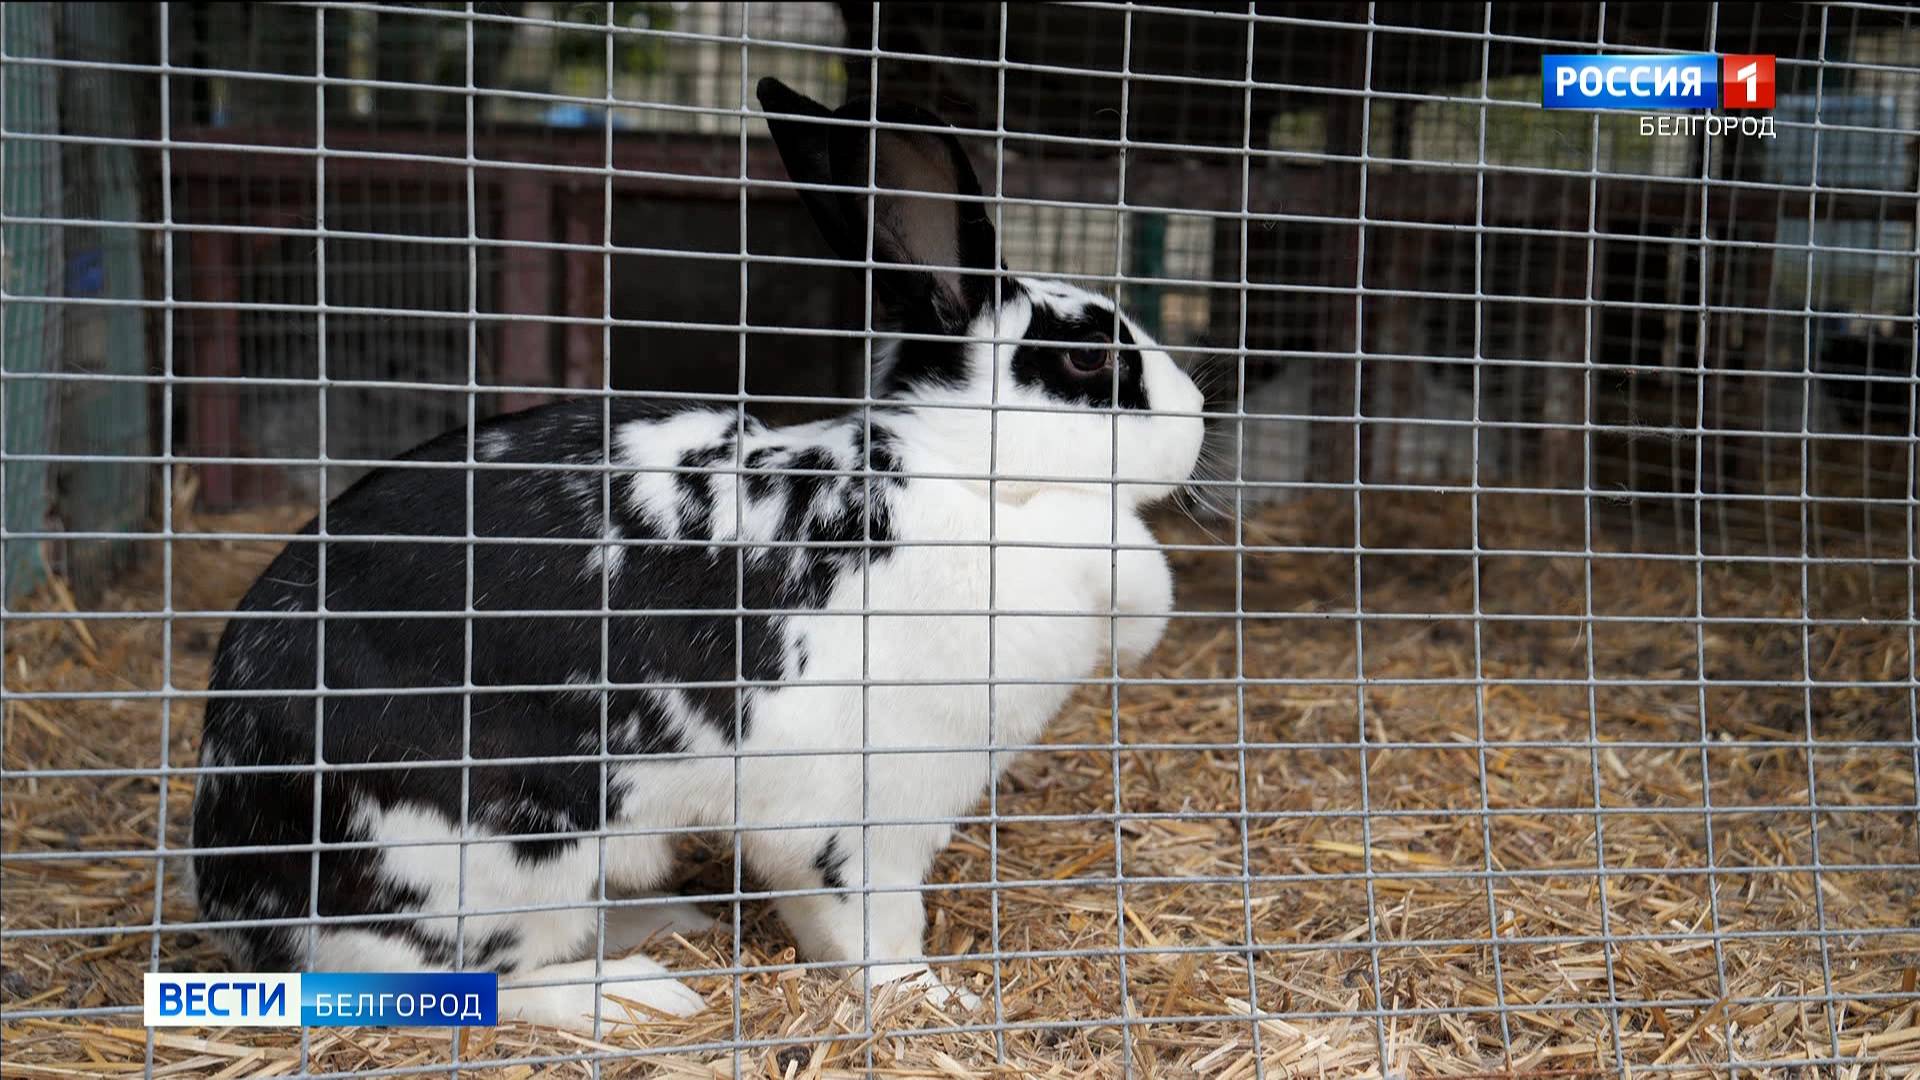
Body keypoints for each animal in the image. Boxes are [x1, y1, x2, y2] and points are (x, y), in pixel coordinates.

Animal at [191, 79, 1198, 1030]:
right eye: (1087, 361)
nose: (1194, 423)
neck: (965, 482)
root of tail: (237, 897)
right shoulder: (859, 813)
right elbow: (872, 927)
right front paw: (929, 1000)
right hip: (499, 856)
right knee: (445, 980)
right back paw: (632, 994)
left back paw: (670, 921)